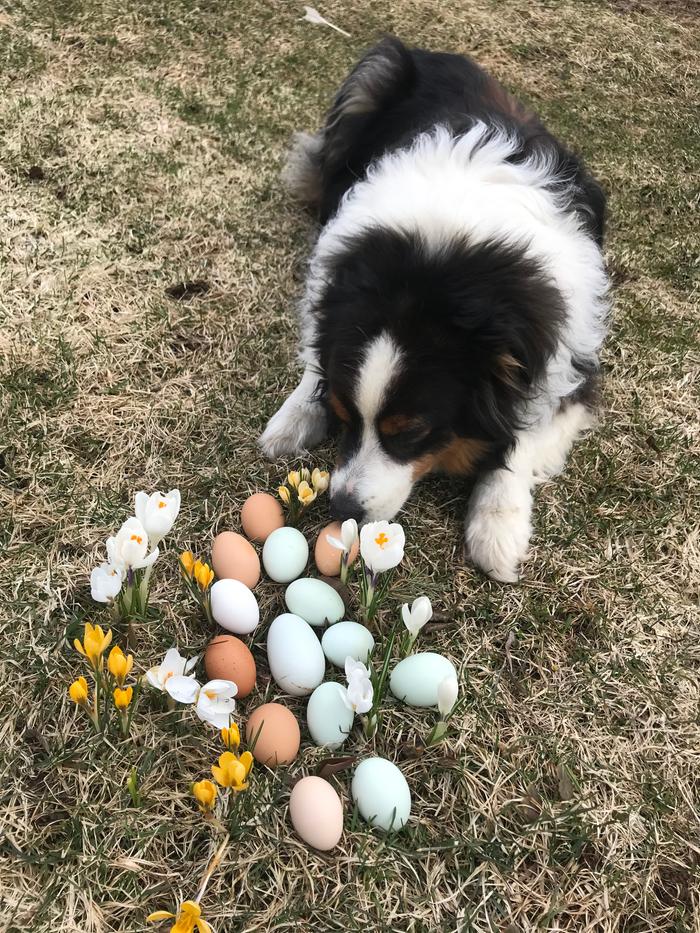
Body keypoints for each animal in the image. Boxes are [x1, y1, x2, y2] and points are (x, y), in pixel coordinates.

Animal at [258, 38, 608, 584]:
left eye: (412, 433)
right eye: (343, 415)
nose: (342, 509)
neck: (436, 270)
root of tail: (434, 51)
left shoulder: (569, 360)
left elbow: (523, 434)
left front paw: (497, 527)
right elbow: (316, 357)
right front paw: (296, 415)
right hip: (369, 78)